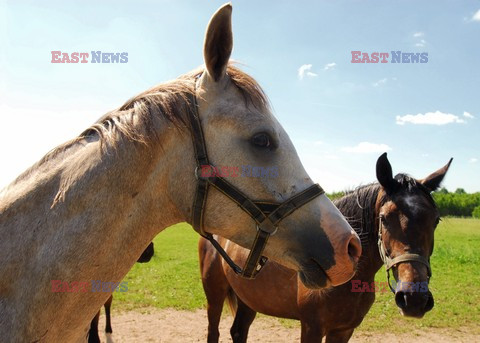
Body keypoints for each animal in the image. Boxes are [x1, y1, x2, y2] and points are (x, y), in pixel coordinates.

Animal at [200, 154, 454, 343]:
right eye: (384, 218)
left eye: (436, 220)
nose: (414, 299)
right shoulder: (311, 327)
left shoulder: (343, 330)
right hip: (214, 295)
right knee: (214, 331)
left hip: (248, 300)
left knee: (238, 332)